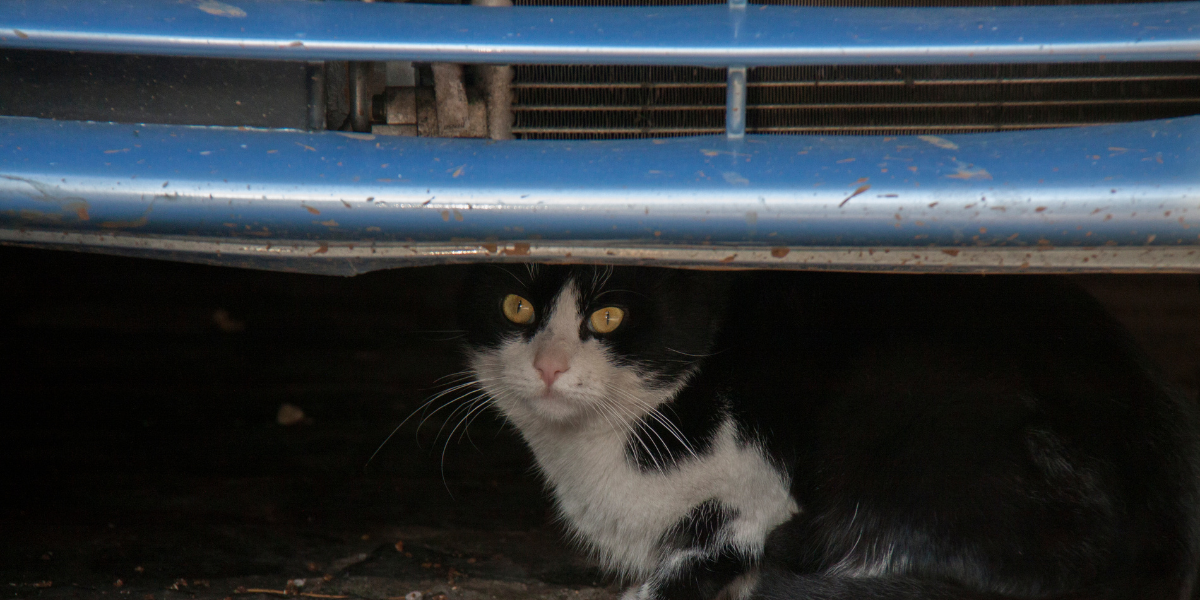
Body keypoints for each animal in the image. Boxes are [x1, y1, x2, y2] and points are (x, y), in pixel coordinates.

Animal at [451, 266, 1200, 600]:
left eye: (608, 317)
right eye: (515, 306)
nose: (548, 366)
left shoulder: (759, 489)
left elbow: (718, 544)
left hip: (907, 392)